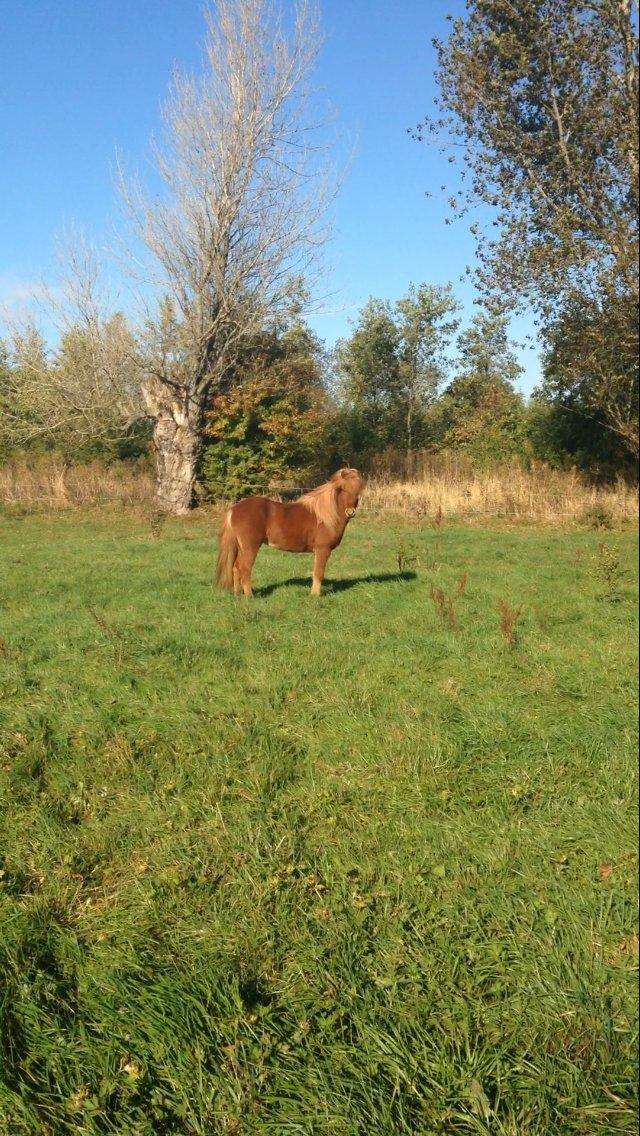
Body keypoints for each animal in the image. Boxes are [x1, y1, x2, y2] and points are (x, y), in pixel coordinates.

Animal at [217, 468, 363, 599]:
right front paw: (315, 595)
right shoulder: (323, 549)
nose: (350, 512)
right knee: (245, 568)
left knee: (236, 568)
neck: (325, 515)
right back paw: (250, 596)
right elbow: (318, 573)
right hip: (250, 546)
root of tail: (234, 509)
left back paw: (238, 594)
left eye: (358, 491)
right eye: (342, 489)